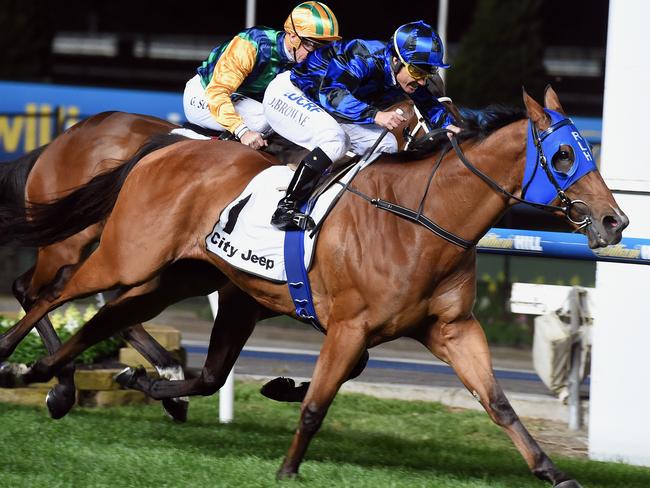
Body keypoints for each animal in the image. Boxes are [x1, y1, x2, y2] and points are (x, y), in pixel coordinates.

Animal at [0, 86, 624, 484]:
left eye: (587, 151)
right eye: (563, 155)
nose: (614, 220)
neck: (421, 217)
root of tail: (163, 149)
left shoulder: (450, 328)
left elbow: (497, 402)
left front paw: (551, 470)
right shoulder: (348, 325)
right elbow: (318, 404)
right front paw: (288, 466)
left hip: (178, 275)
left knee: (109, 319)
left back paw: (80, 378)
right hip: (120, 255)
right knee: (49, 294)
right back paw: (24, 368)